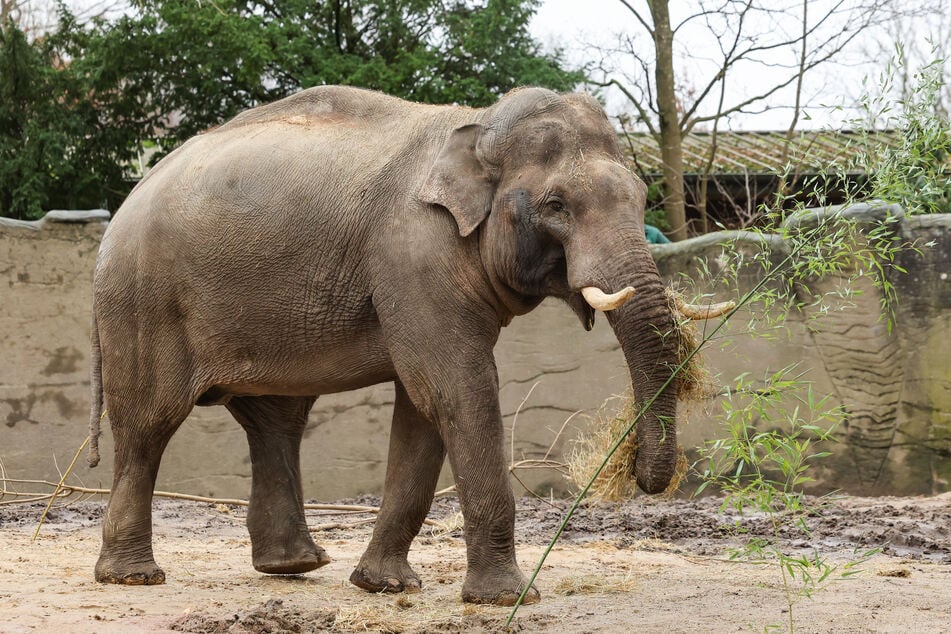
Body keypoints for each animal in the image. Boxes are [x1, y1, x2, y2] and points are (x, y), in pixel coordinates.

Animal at [87, 84, 700, 604]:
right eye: (556, 206)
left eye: (641, 196)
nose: (638, 475)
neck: (475, 128)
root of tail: (117, 217)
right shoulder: (415, 254)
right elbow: (457, 390)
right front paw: (508, 598)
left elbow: (424, 409)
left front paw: (385, 586)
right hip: (143, 301)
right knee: (148, 424)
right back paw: (134, 577)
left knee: (276, 421)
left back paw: (294, 566)